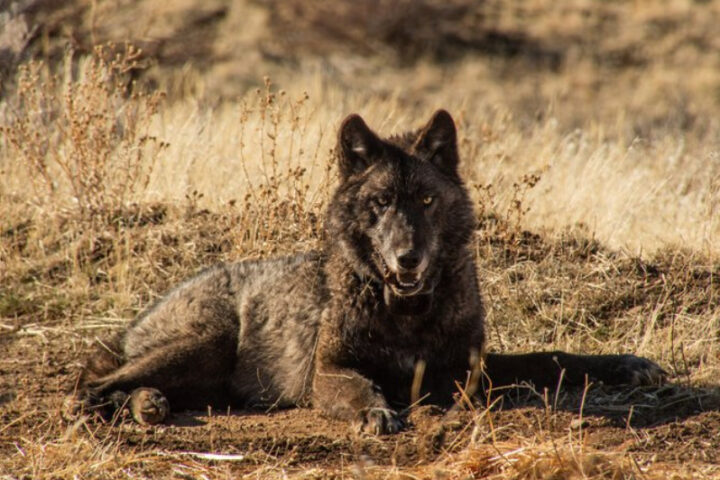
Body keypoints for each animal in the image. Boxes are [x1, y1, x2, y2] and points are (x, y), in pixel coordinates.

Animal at [70, 110, 668, 434]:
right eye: (381, 202)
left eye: (425, 200)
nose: (408, 259)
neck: (406, 312)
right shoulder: (328, 371)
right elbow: (361, 386)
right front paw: (378, 413)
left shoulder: (468, 368)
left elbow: (554, 358)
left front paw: (625, 365)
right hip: (206, 343)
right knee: (91, 383)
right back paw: (112, 408)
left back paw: (148, 405)